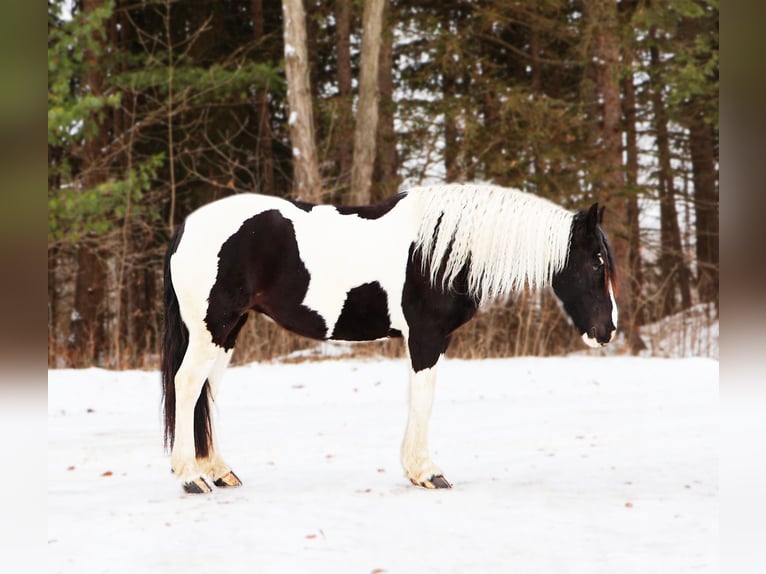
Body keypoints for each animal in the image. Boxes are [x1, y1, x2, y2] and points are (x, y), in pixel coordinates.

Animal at [161, 183, 618, 493]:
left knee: (207, 390)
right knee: (187, 384)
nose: (608, 331)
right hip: (211, 328)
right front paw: (427, 472)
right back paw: (191, 477)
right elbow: (423, 398)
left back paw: (218, 471)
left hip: (226, 331)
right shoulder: (426, 338)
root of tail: (186, 227)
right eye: (596, 262)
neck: (443, 248)